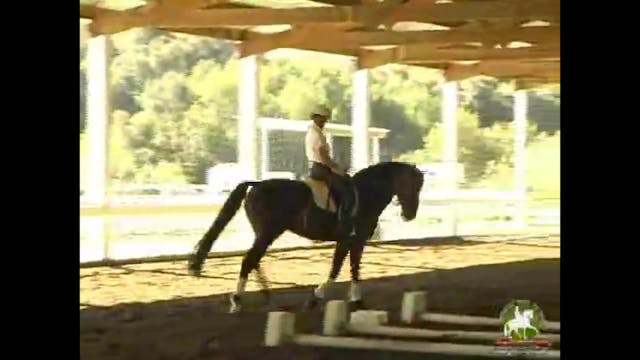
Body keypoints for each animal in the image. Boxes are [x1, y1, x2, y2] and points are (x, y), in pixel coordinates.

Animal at [186, 162, 424, 314]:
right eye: (412, 185)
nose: (410, 215)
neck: (365, 194)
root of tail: (256, 184)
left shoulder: (355, 241)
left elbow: (352, 268)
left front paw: (355, 299)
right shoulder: (350, 240)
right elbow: (340, 268)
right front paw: (318, 297)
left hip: (264, 234)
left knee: (254, 260)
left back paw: (267, 298)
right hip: (268, 233)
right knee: (249, 260)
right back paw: (237, 301)